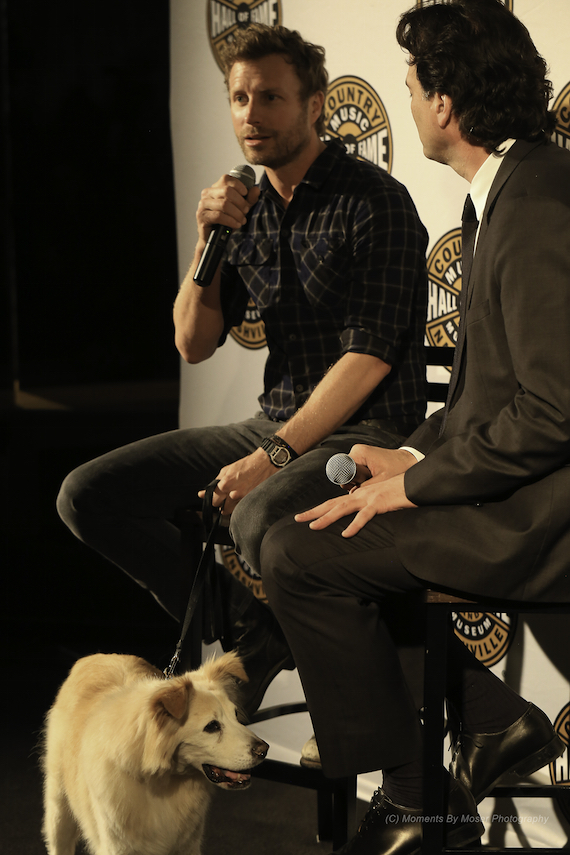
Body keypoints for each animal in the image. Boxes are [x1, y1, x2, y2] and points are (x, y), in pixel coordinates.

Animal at [42, 652, 268, 852]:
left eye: (236, 716)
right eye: (212, 726)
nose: (264, 750)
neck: (159, 782)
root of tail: (93, 657)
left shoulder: (187, 845)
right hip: (59, 813)